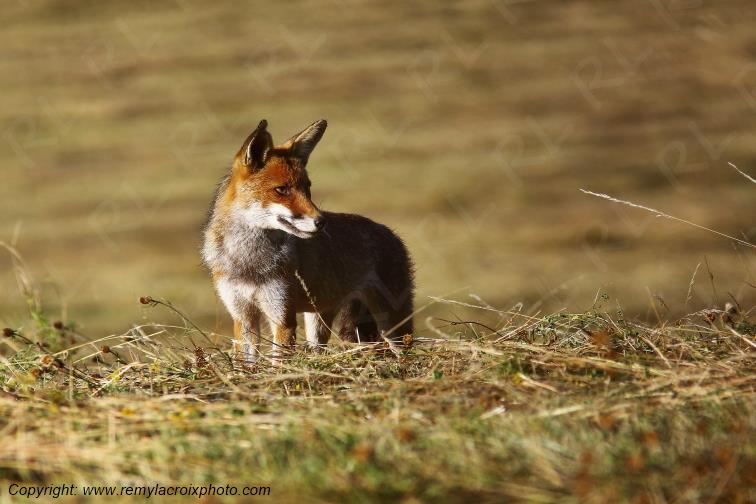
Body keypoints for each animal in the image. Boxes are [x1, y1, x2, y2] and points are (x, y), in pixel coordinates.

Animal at [202, 119, 414, 362]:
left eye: (307, 187)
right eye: (281, 189)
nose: (322, 222)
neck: (248, 262)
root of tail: (392, 234)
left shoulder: (282, 316)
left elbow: (278, 363)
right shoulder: (243, 317)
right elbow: (245, 364)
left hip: (392, 325)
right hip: (317, 319)